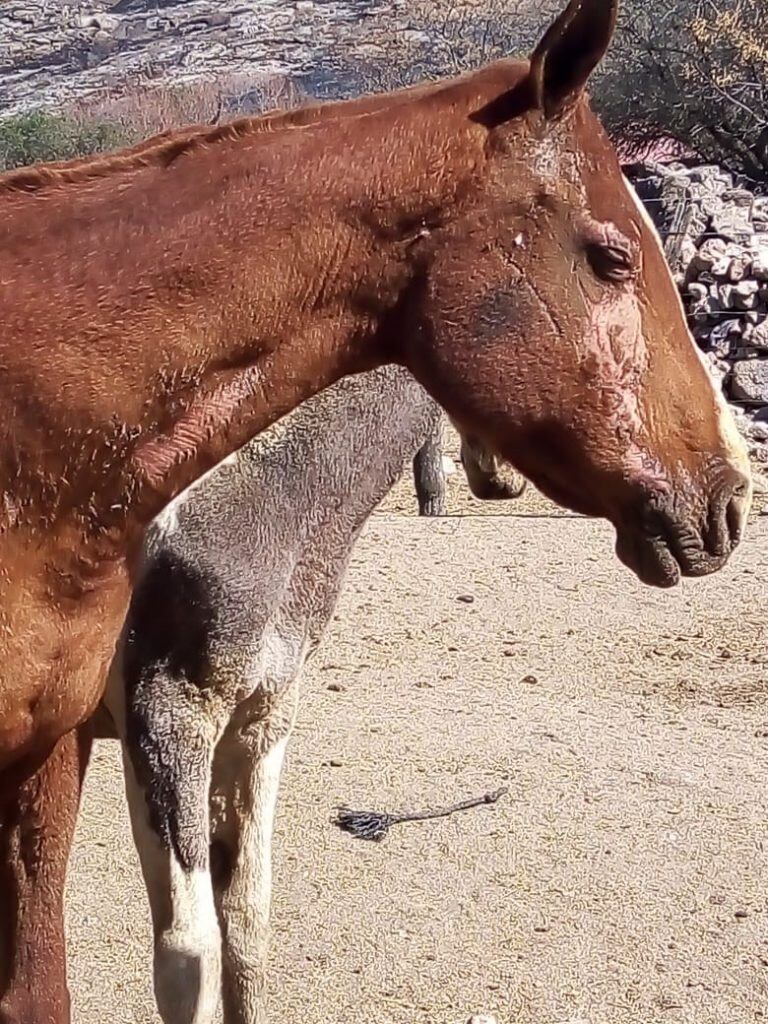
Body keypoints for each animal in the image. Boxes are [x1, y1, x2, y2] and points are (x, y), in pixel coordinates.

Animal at [0, 0, 753, 1019]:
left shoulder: (257, 717)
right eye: (610, 257)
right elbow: (188, 955)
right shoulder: (167, 718)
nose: (726, 498)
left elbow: (246, 929)